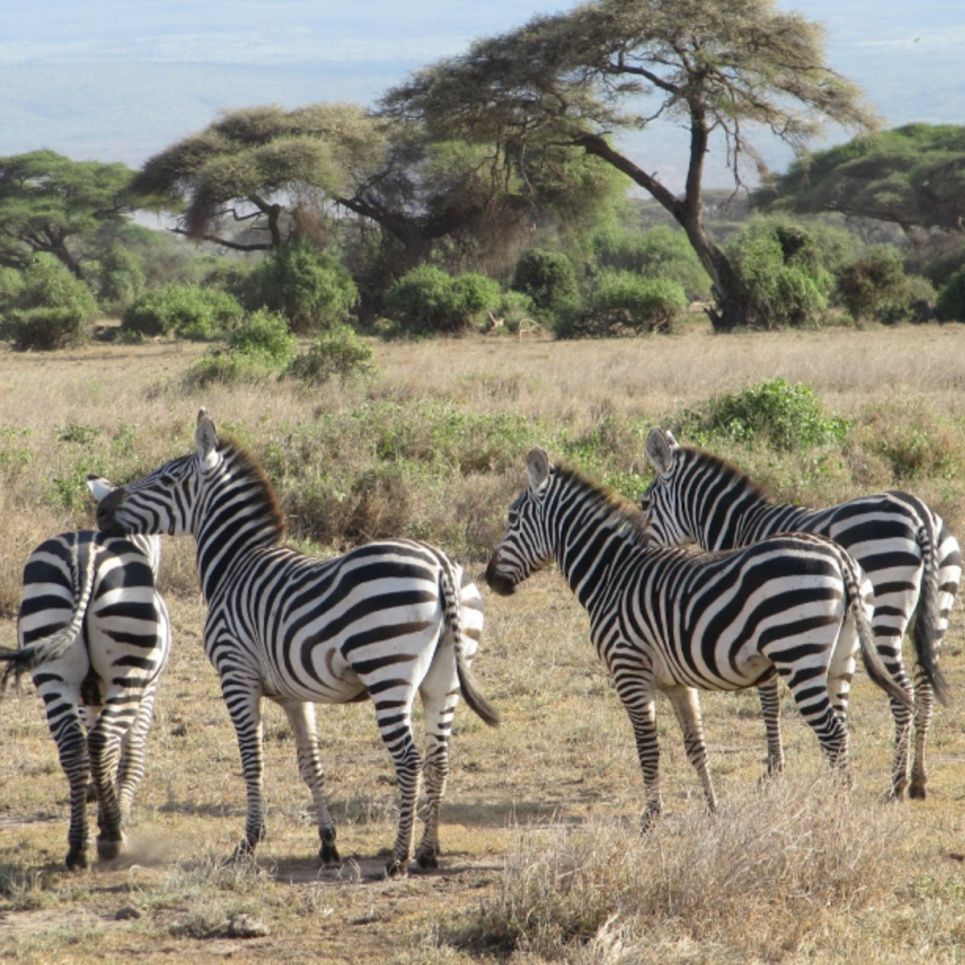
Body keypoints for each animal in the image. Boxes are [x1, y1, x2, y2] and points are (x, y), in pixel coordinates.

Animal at [0, 478, 171, 868]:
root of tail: (84, 557)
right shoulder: (148, 689)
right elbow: (131, 755)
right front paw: (116, 813)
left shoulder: (87, 695)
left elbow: (100, 752)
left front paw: (100, 797)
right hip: (128, 669)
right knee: (101, 739)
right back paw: (113, 836)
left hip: (53, 669)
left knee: (74, 744)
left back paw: (78, 845)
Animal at [95, 406, 500, 872]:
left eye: (163, 479)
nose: (101, 509)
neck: (234, 564)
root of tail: (438, 565)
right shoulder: (295, 693)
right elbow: (311, 764)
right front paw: (328, 843)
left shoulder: (236, 674)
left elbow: (252, 761)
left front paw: (248, 843)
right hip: (445, 676)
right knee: (439, 759)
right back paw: (429, 853)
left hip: (388, 672)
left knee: (410, 760)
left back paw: (398, 857)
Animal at [486, 448, 916, 824]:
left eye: (511, 517)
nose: (489, 579)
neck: (612, 573)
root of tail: (840, 557)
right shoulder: (677, 681)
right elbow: (696, 747)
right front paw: (712, 808)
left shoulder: (629, 670)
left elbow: (648, 748)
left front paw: (651, 818)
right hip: (842, 655)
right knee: (842, 728)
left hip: (799, 652)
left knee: (833, 734)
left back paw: (838, 812)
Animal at [640, 426, 956, 796]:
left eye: (644, 504)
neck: (738, 526)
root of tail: (921, 515)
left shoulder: (759, 626)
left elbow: (768, 701)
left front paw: (773, 770)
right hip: (937, 611)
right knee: (925, 690)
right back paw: (918, 779)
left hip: (884, 613)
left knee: (902, 693)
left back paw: (897, 782)